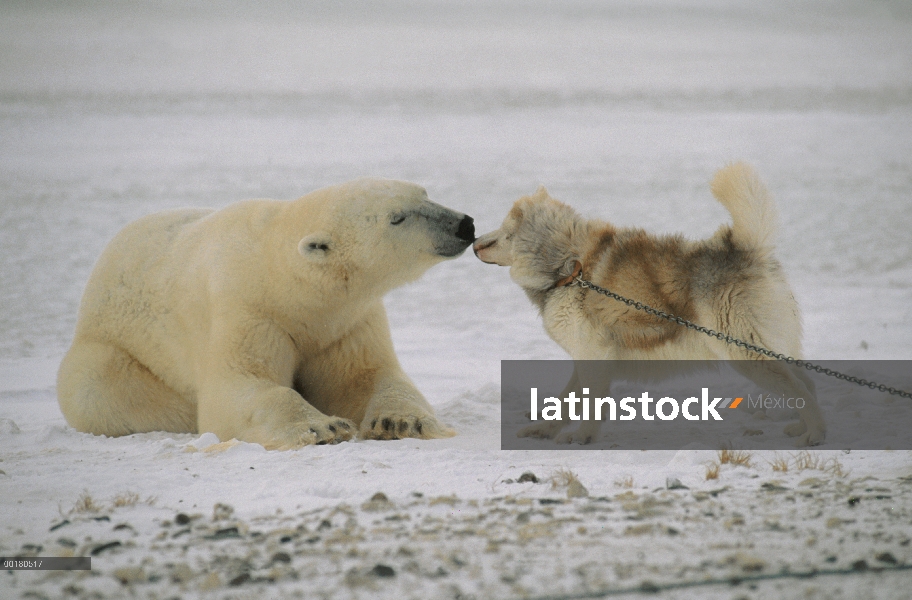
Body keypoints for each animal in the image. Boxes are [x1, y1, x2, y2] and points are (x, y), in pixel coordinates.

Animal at [57, 180, 474, 448]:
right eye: (397, 218)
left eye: (424, 193)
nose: (464, 223)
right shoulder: (247, 310)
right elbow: (239, 386)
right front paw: (322, 427)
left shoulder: (344, 322)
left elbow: (367, 375)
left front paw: (401, 421)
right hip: (111, 350)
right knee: (100, 388)